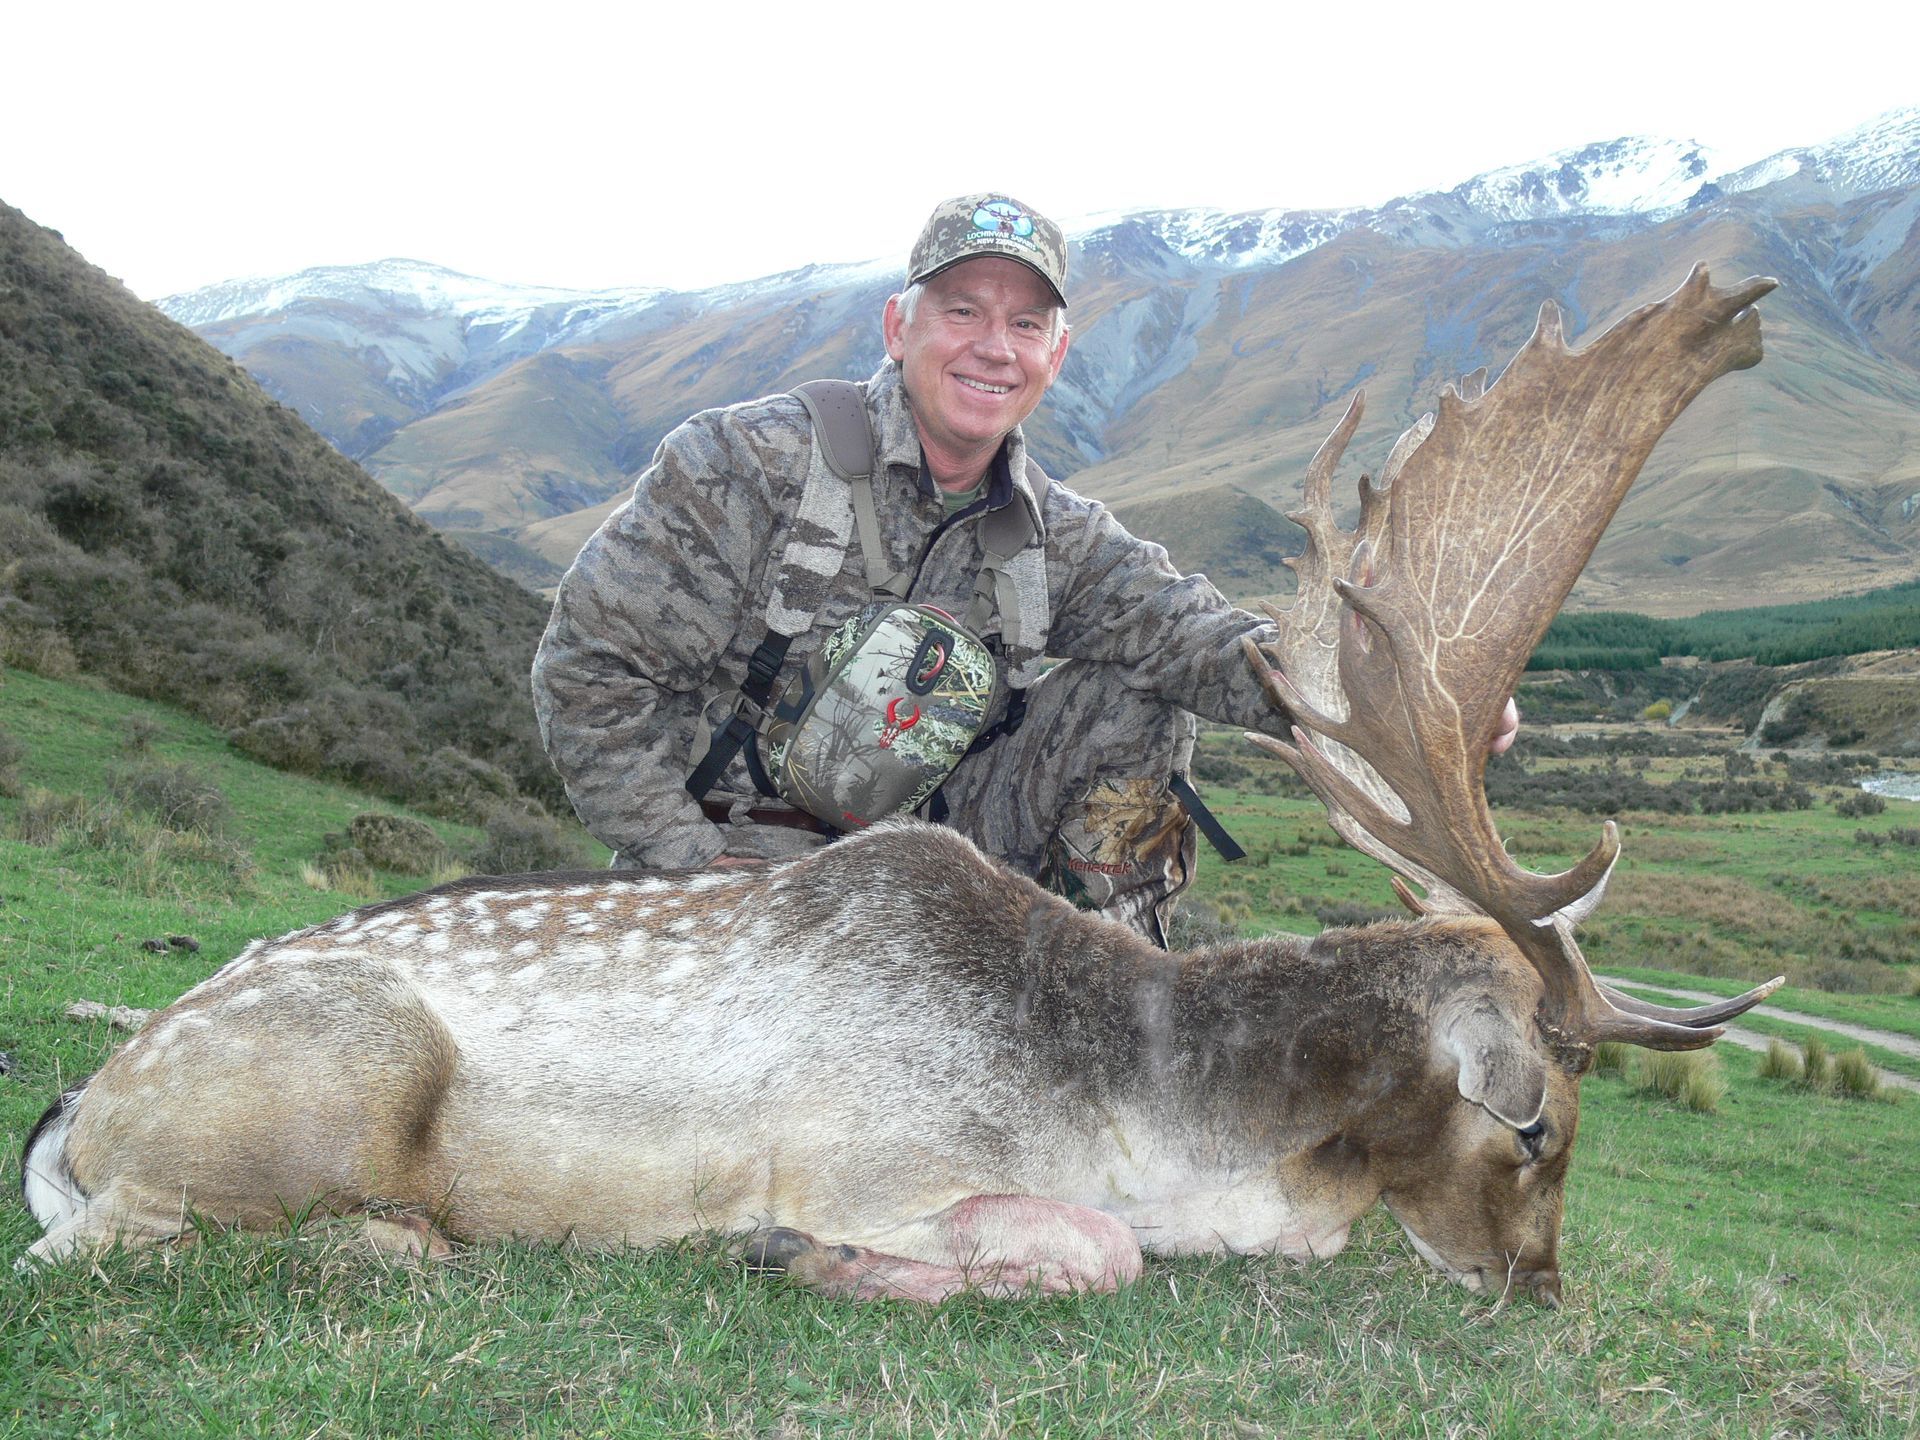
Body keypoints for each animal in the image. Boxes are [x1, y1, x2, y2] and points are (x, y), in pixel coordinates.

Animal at [21, 265, 1782, 1307]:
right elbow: (1086, 1253)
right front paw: (792, 1248)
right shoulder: (880, 1156)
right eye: (1537, 1124)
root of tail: (81, 1107)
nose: (1537, 1283)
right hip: (324, 1080)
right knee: (97, 1246)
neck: (1154, 1116)